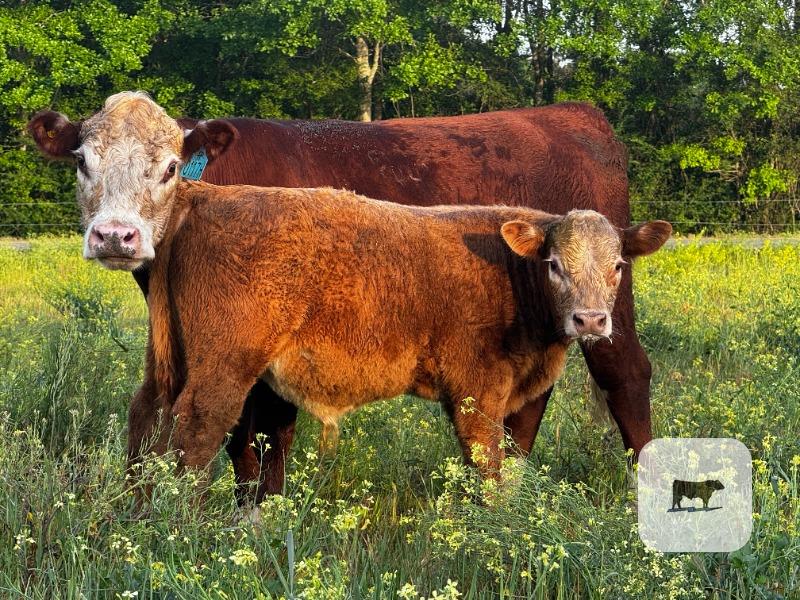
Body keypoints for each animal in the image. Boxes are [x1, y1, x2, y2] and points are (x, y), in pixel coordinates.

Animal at [29, 91, 651, 505]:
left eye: (170, 167)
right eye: (82, 160)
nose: (116, 236)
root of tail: (572, 112)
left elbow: (265, 436)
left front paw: (258, 516)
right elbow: (243, 442)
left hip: (608, 311)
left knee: (626, 373)